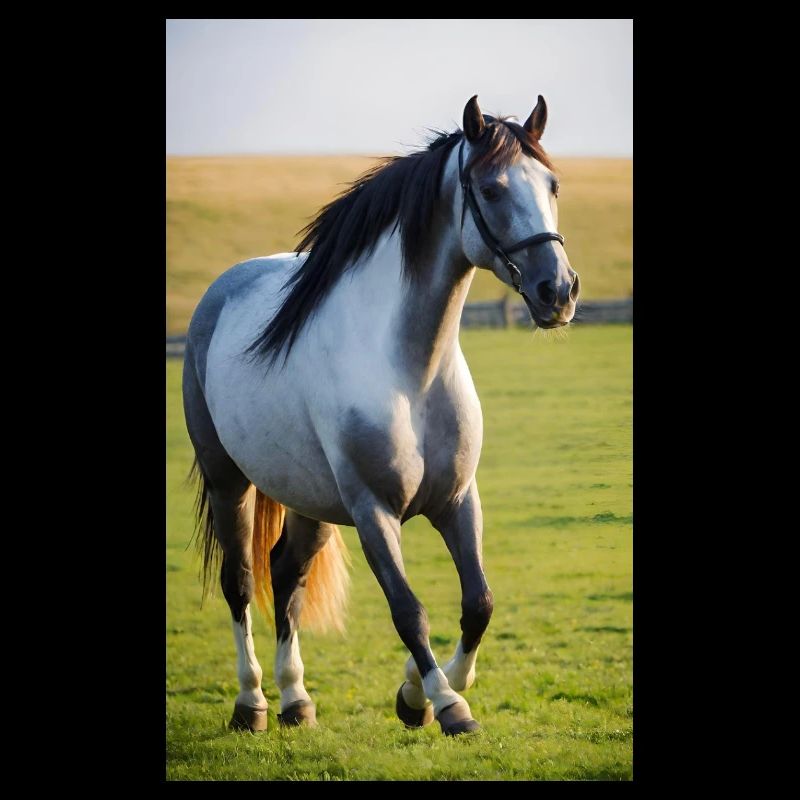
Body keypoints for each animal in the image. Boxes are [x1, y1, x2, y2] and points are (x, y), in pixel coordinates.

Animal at [182, 94, 579, 736]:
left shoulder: (458, 501)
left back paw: (297, 699)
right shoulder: (375, 512)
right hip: (229, 482)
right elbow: (408, 610)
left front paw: (416, 693)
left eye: (553, 185)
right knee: (239, 581)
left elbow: (479, 604)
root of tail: (220, 293)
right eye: (491, 189)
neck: (410, 372)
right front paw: (444, 704)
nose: (559, 292)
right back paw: (253, 702)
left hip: (309, 500)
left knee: (285, 574)